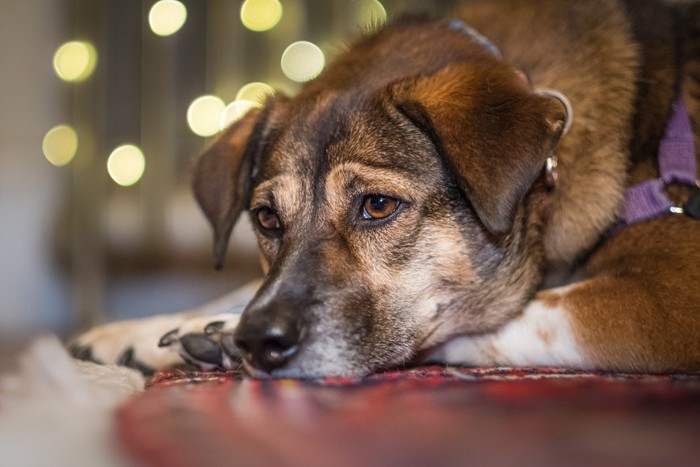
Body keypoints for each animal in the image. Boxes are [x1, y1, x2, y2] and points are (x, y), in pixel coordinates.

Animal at [71, 0, 700, 380]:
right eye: (266, 219)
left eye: (377, 206)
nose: (258, 340)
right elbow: (244, 285)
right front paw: (147, 330)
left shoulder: (669, 298)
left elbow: (500, 318)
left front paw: (219, 333)